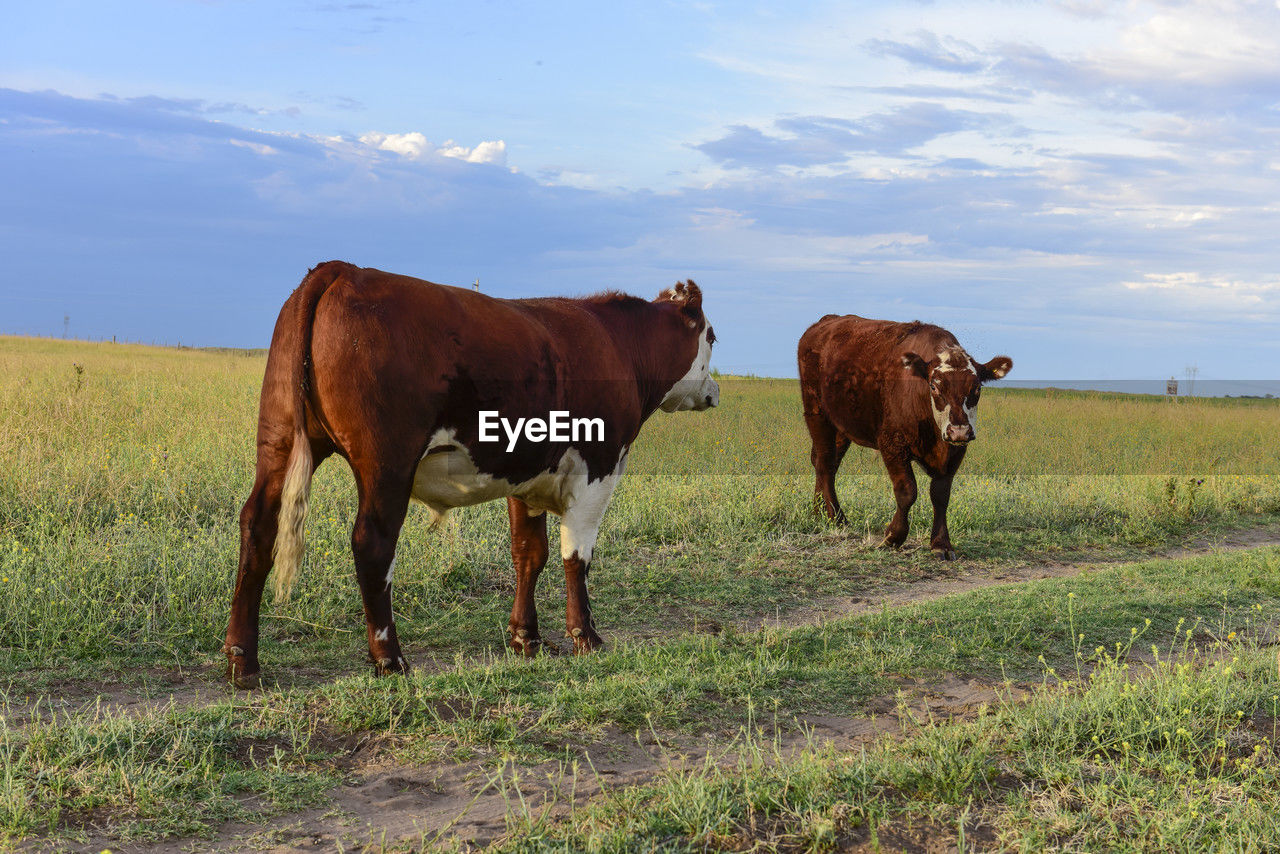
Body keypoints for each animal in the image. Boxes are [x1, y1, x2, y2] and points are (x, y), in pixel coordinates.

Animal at [224, 261, 716, 686]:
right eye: (712, 335)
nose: (714, 392)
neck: (619, 345)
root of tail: (343, 269)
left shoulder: (526, 473)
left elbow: (529, 554)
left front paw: (526, 637)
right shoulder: (600, 466)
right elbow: (575, 557)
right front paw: (586, 637)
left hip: (278, 442)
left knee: (258, 526)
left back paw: (242, 660)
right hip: (387, 463)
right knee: (372, 545)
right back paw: (389, 658)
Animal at [798, 313, 1008, 560]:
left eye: (977, 388)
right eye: (934, 386)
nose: (959, 430)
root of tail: (825, 322)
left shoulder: (956, 451)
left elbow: (940, 495)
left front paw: (941, 543)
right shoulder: (892, 444)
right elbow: (907, 491)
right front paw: (893, 537)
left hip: (841, 426)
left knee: (829, 465)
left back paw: (820, 511)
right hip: (817, 414)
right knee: (824, 462)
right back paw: (834, 517)